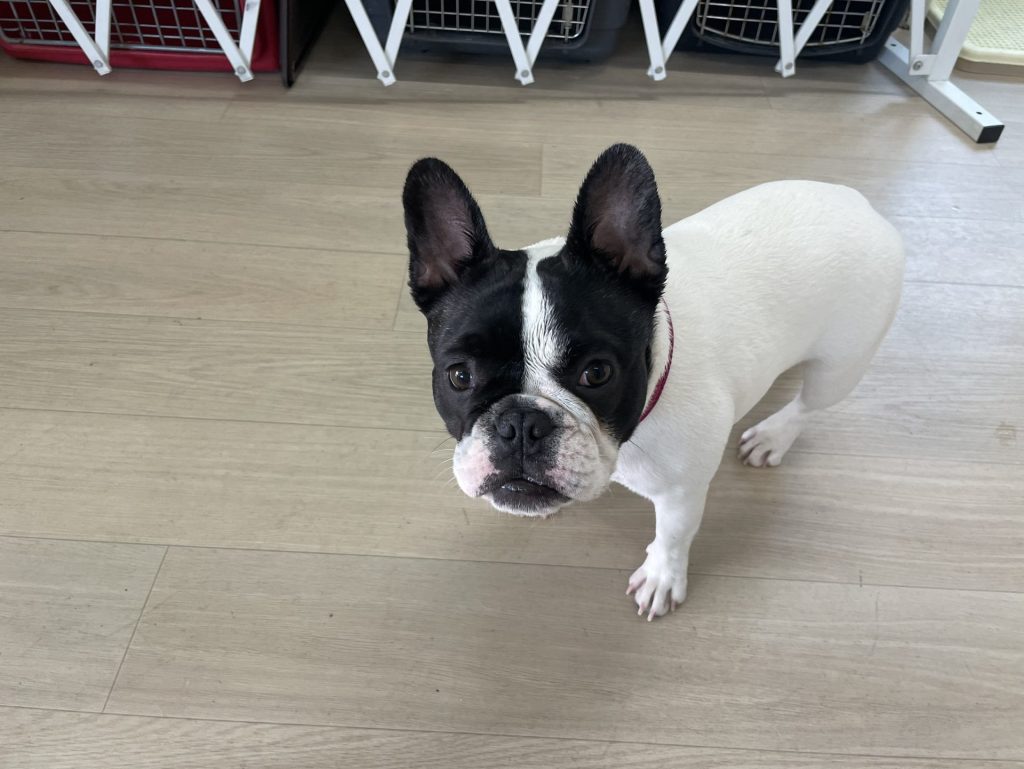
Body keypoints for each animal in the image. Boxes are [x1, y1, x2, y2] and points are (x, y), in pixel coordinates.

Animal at [403, 144, 904, 620]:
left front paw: (663, 577)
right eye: (459, 376)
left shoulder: (683, 490)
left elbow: (674, 534)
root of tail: (860, 204)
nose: (521, 423)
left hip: (842, 362)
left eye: (597, 373)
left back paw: (773, 436)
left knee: (810, 405)